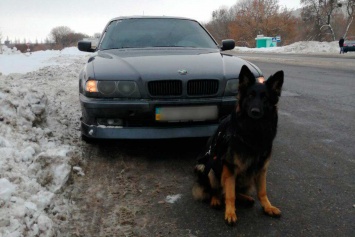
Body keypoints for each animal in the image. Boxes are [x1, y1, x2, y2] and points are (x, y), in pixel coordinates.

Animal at [193, 65, 286, 224]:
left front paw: (268, 207)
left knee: (232, 191)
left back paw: (246, 198)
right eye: (250, 96)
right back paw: (216, 200)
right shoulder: (230, 167)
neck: (254, 131)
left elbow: (262, 191)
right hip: (206, 167)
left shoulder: (261, 168)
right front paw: (230, 213)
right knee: (218, 191)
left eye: (265, 98)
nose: (255, 111)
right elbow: (230, 194)